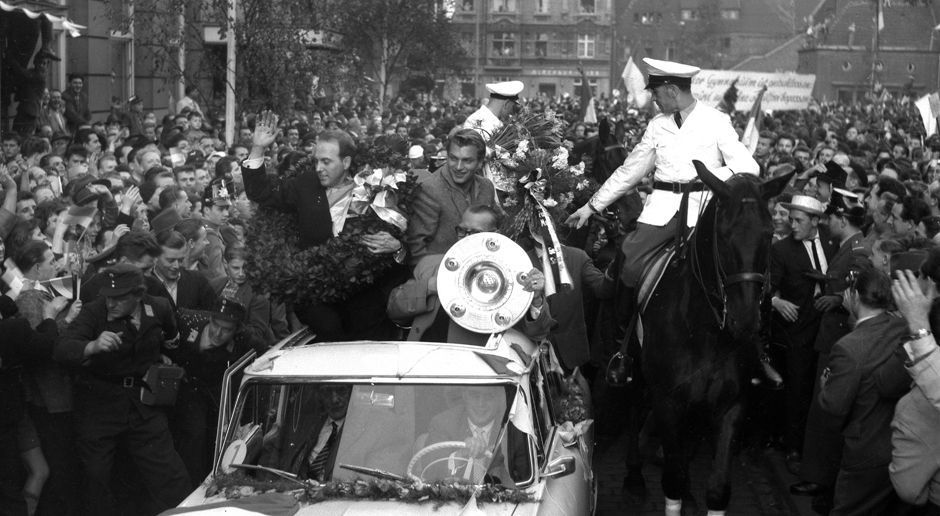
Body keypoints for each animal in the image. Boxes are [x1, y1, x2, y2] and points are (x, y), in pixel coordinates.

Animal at [640, 162, 792, 516]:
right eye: (722, 235)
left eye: (769, 234)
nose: (746, 320)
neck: (706, 332)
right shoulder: (668, 402)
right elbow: (674, 479)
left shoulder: (731, 406)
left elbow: (718, 489)